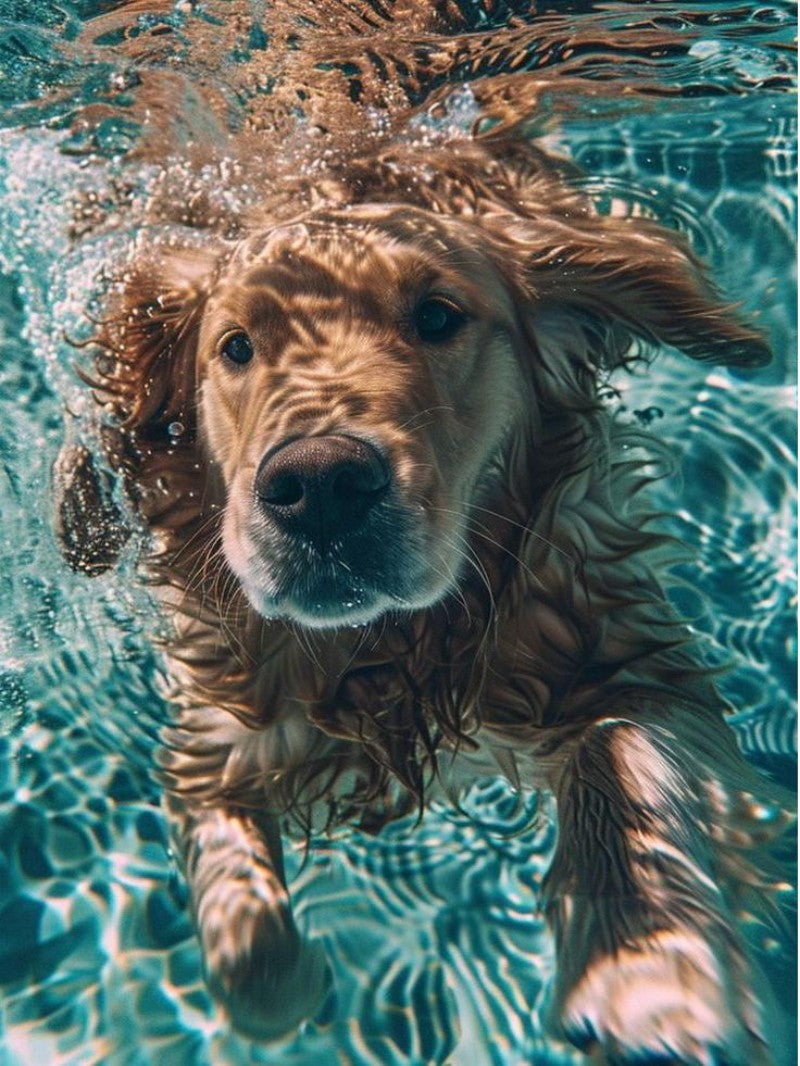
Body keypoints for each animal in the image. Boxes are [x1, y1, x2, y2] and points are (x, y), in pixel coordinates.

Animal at [51, 4, 797, 1061]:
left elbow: (622, 765)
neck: (398, 651)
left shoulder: (623, 646)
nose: (321, 489)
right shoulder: (211, 730)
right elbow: (255, 967)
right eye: (236, 347)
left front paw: (646, 971)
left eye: (438, 317)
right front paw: (296, 984)